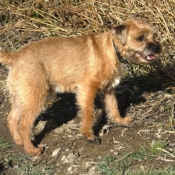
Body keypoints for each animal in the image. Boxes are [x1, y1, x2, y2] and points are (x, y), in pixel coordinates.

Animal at [0, 17, 161, 154]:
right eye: (140, 38)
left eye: (154, 35)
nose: (156, 47)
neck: (112, 49)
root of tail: (16, 56)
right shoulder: (87, 88)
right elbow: (88, 112)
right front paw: (88, 134)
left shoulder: (108, 89)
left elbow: (113, 106)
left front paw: (119, 120)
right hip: (35, 98)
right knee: (23, 124)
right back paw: (32, 150)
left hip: (21, 98)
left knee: (11, 119)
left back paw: (19, 141)